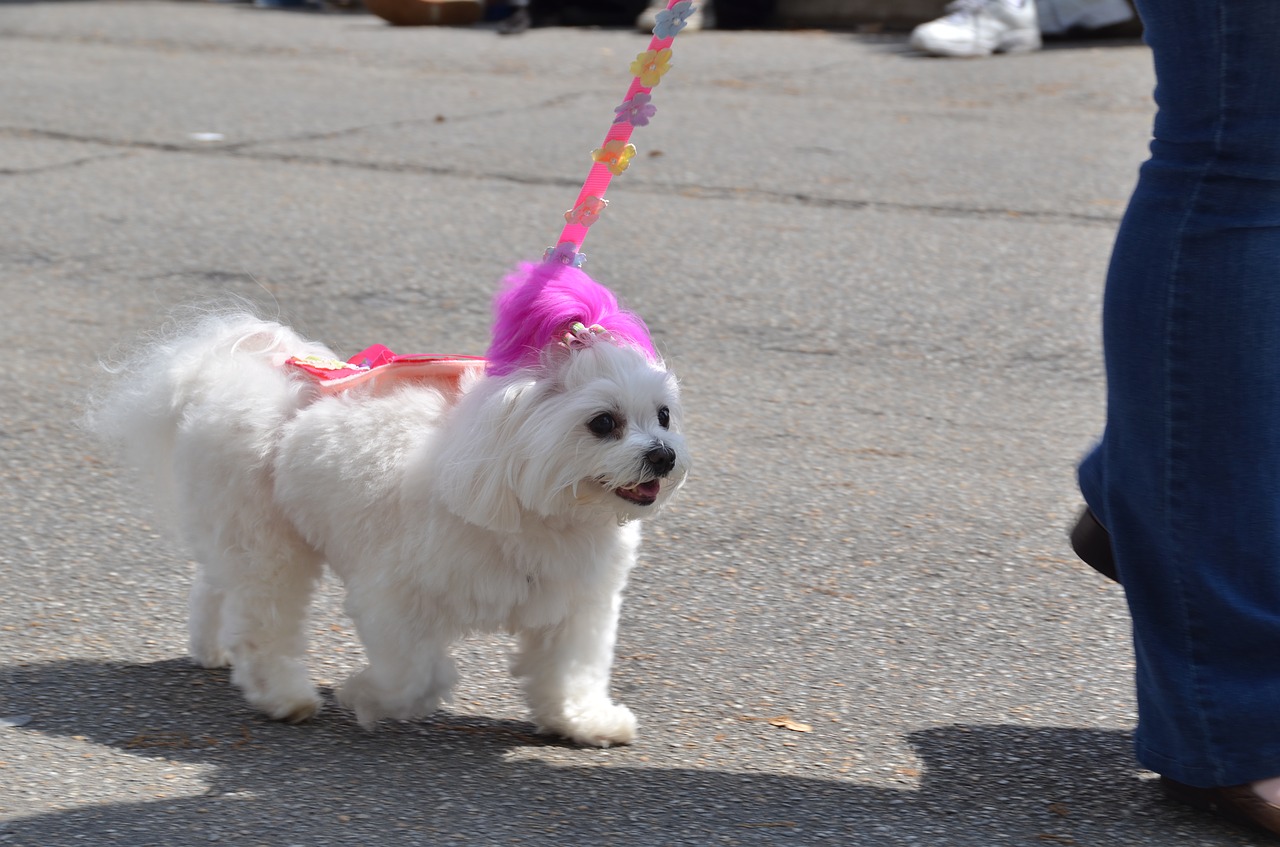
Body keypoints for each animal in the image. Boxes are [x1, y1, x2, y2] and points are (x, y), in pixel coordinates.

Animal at [90, 262, 691, 747]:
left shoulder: (576, 607)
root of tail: (236, 372)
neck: (540, 510)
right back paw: (283, 695)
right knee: (264, 618)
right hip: (269, 546)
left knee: (218, 586)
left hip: (240, 531)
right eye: (603, 423)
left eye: (663, 416)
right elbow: (417, 676)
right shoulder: (394, 599)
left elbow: (570, 672)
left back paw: (213, 648)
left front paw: (581, 721)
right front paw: (365, 696)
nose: (662, 456)